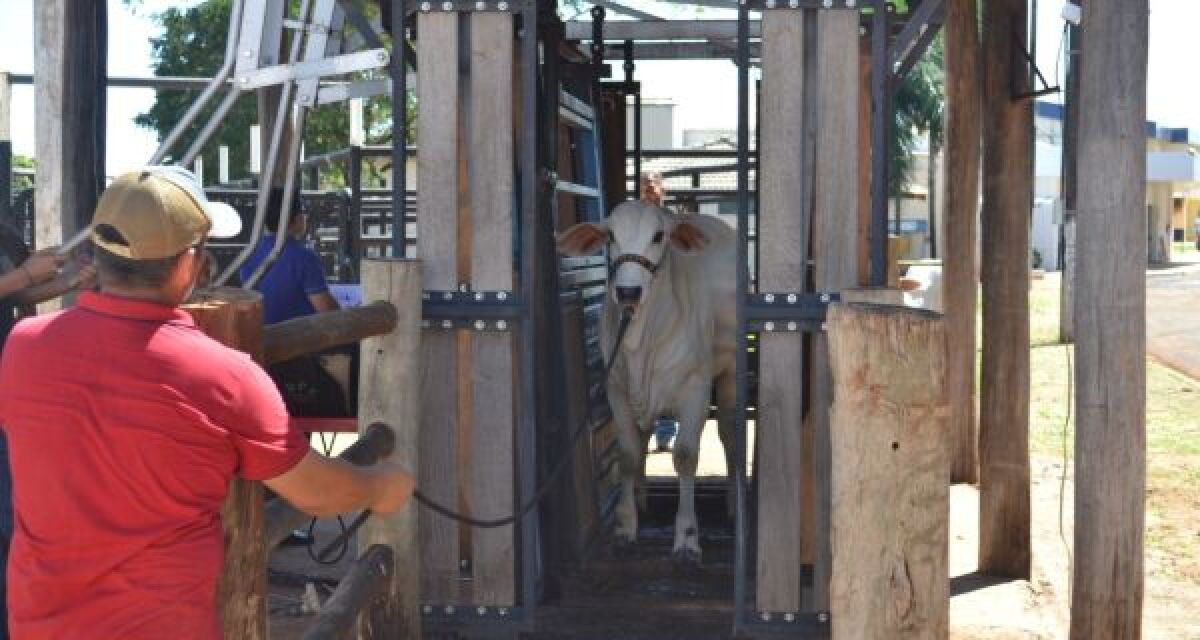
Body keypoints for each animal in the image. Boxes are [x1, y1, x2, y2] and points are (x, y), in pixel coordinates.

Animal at [556, 200, 734, 564]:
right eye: (610, 235)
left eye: (658, 236)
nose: (628, 291)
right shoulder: (617, 390)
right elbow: (627, 454)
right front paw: (626, 526)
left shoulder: (696, 388)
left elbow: (685, 456)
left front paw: (687, 538)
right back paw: (640, 498)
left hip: (730, 373)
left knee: (729, 435)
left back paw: (733, 504)